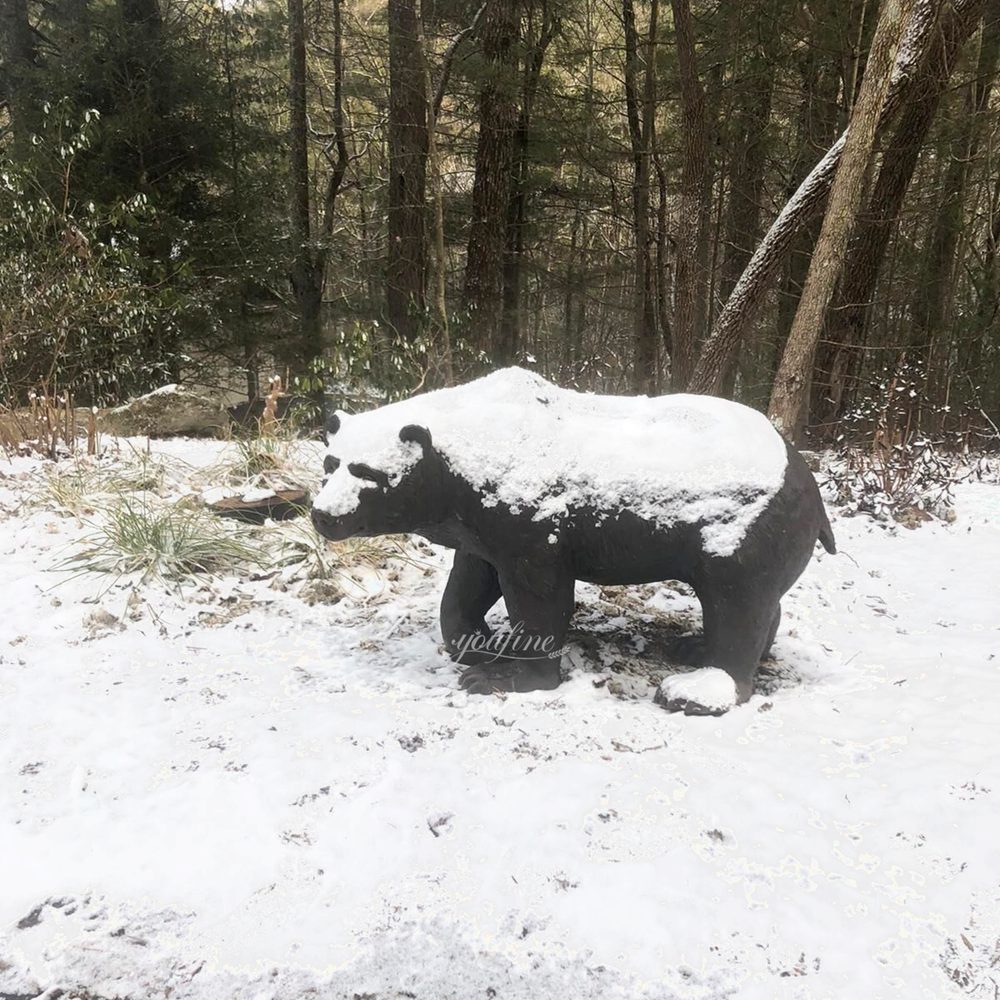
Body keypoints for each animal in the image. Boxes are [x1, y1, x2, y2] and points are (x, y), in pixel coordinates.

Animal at [310, 368, 835, 715]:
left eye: (370, 473)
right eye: (331, 464)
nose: (323, 515)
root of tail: (804, 472)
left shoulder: (532, 517)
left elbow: (540, 595)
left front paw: (502, 674)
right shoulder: (481, 524)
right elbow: (469, 581)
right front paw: (478, 644)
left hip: (741, 527)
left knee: (737, 600)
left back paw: (696, 689)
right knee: (760, 600)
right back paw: (695, 647)